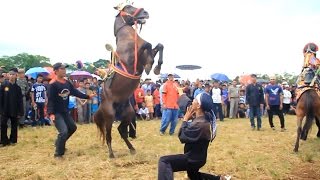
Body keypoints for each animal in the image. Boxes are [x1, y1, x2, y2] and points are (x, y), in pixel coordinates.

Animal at [92, 2, 162, 158]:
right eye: (128, 7)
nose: (145, 13)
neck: (128, 37)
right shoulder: (132, 60)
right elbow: (147, 45)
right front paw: (150, 66)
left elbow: (159, 45)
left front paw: (156, 67)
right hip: (110, 115)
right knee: (109, 134)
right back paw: (111, 154)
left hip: (128, 114)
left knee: (121, 131)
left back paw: (132, 148)